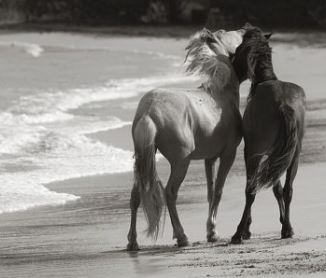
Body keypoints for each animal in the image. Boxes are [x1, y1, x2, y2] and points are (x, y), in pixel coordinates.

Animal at [126, 27, 246, 251]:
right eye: (230, 34)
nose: (245, 28)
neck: (220, 93)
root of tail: (149, 111)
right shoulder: (228, 154)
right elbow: (218, 190)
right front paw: (212, 233)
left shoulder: (210, 158)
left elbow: (210, 191)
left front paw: (211, 231)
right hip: (181, 162)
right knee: (170, 193)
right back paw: (182, 236)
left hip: (142, 159)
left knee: (135, 195)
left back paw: (132, 241)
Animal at [229, 26, 306, 243]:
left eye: (238, 48)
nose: (230, 61)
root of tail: (283, 104)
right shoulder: (276, 154)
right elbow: (277, 188)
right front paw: (283, 222)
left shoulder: (254, 151)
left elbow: (257, 188)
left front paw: (246, 230)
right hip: (293, 155)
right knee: (288, 189)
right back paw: (287, 229)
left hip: (255, 153)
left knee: (250, 190)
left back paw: (238, 233)